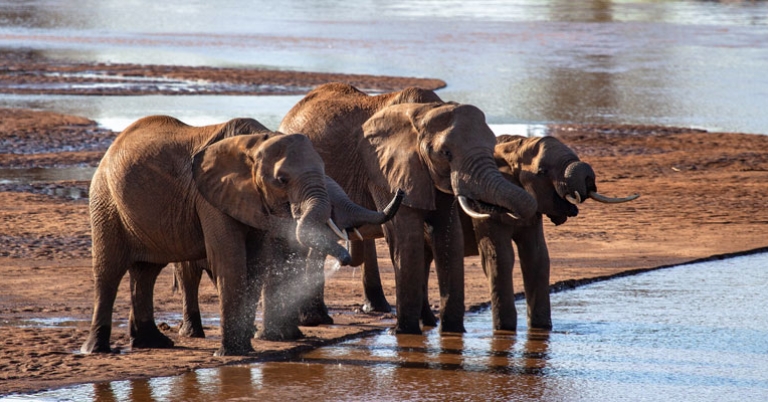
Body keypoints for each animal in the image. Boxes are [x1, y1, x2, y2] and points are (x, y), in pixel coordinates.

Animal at [80, 115, 387, 356]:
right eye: (282, 180)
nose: (344, 257)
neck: (256, 142)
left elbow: (257, 262)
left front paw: (244, 348)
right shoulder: (210, 197)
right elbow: (230, 259)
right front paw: (231, 354)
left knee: (146, 272)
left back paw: (153, 343)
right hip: (104, 199)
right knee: (109, 271)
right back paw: (97, 350)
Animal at [278, 83, 538, 335]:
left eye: (493, 147)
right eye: (446, 153)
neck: (425, 113)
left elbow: (448, 236)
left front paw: (452, 332)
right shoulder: (384, 171)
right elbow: (406, 235)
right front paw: (405, 332)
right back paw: (317, 319)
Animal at [360, 134, 639, 331]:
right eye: (542, 172)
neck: (516, 145)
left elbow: (538, 257)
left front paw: (542, 329)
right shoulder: (488, 207)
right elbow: (501, 256)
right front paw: (506, 330)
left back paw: (429, 322)